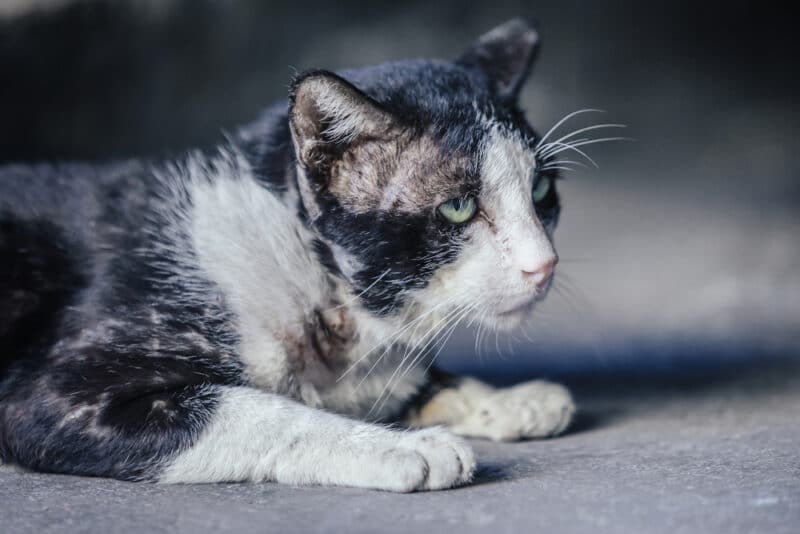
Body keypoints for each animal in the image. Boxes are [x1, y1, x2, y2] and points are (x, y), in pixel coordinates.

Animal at [0, 18, 580, 492]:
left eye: (541, 191)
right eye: (458, 208)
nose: (544, 264)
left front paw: (512, 399)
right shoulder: (54, 396)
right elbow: (257, 410)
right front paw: (406, 447)